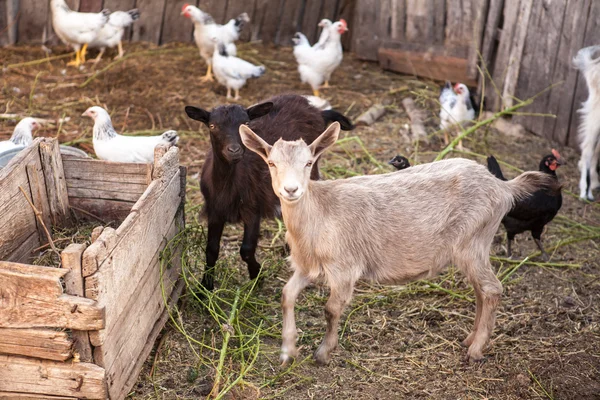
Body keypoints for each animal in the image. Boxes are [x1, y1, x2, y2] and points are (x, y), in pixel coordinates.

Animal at [183, 95, 352, 292]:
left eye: (246, 123)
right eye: (212, 126)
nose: (234, 150)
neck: (228, 187)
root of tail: (317, 111)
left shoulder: (253, 208)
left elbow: (246, 249)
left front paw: (257, 276)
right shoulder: (215, 210)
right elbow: (211, 249)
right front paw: (205, 287)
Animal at [238, 122, 556, 366]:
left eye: (308, 163)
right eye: (271, 163)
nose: (291, 190)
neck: (319, 212)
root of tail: (503, 186)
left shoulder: (344, 268)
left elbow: (331, 309)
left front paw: (323, 353)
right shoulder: (306, 266)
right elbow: (286, 295)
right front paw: (288, 349)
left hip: (474, 240)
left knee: (491, 289)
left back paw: (476, 350)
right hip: (473, 248)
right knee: (481, 291)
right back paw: (470, 339)